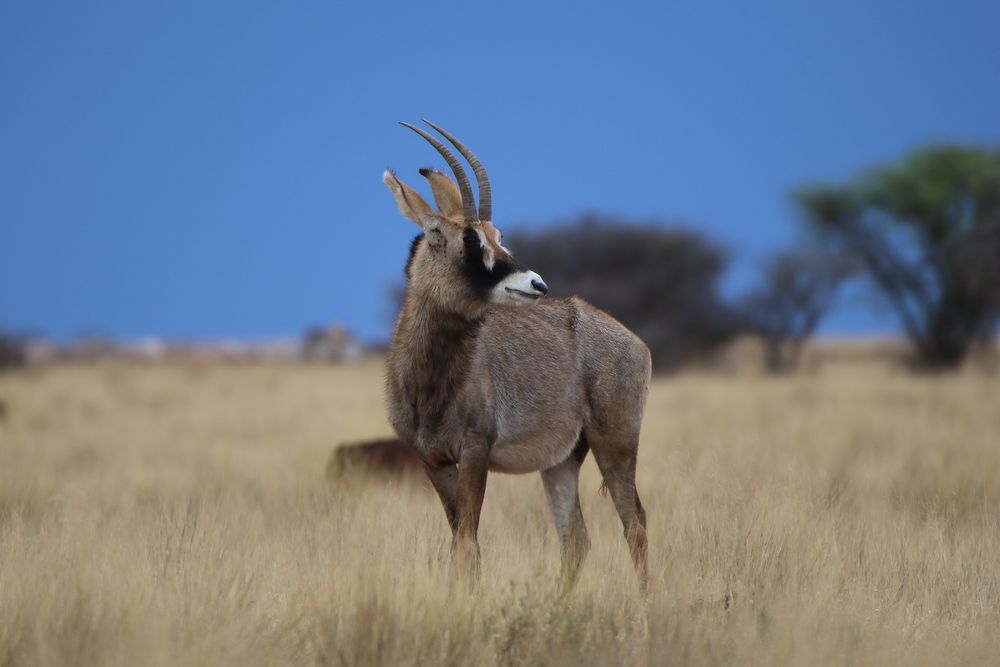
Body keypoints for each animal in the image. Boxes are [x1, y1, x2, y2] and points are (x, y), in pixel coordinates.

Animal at [384, 120, 656, 588]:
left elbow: (467, 545)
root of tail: (634, 342)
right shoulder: (433, 461)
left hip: (616, 443)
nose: (536, 284)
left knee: (633, 523)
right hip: (562, 461)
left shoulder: (475, 452)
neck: (430, 378)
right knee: (576, 539)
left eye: (498, 236)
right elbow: (460, 543)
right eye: (468, 236)